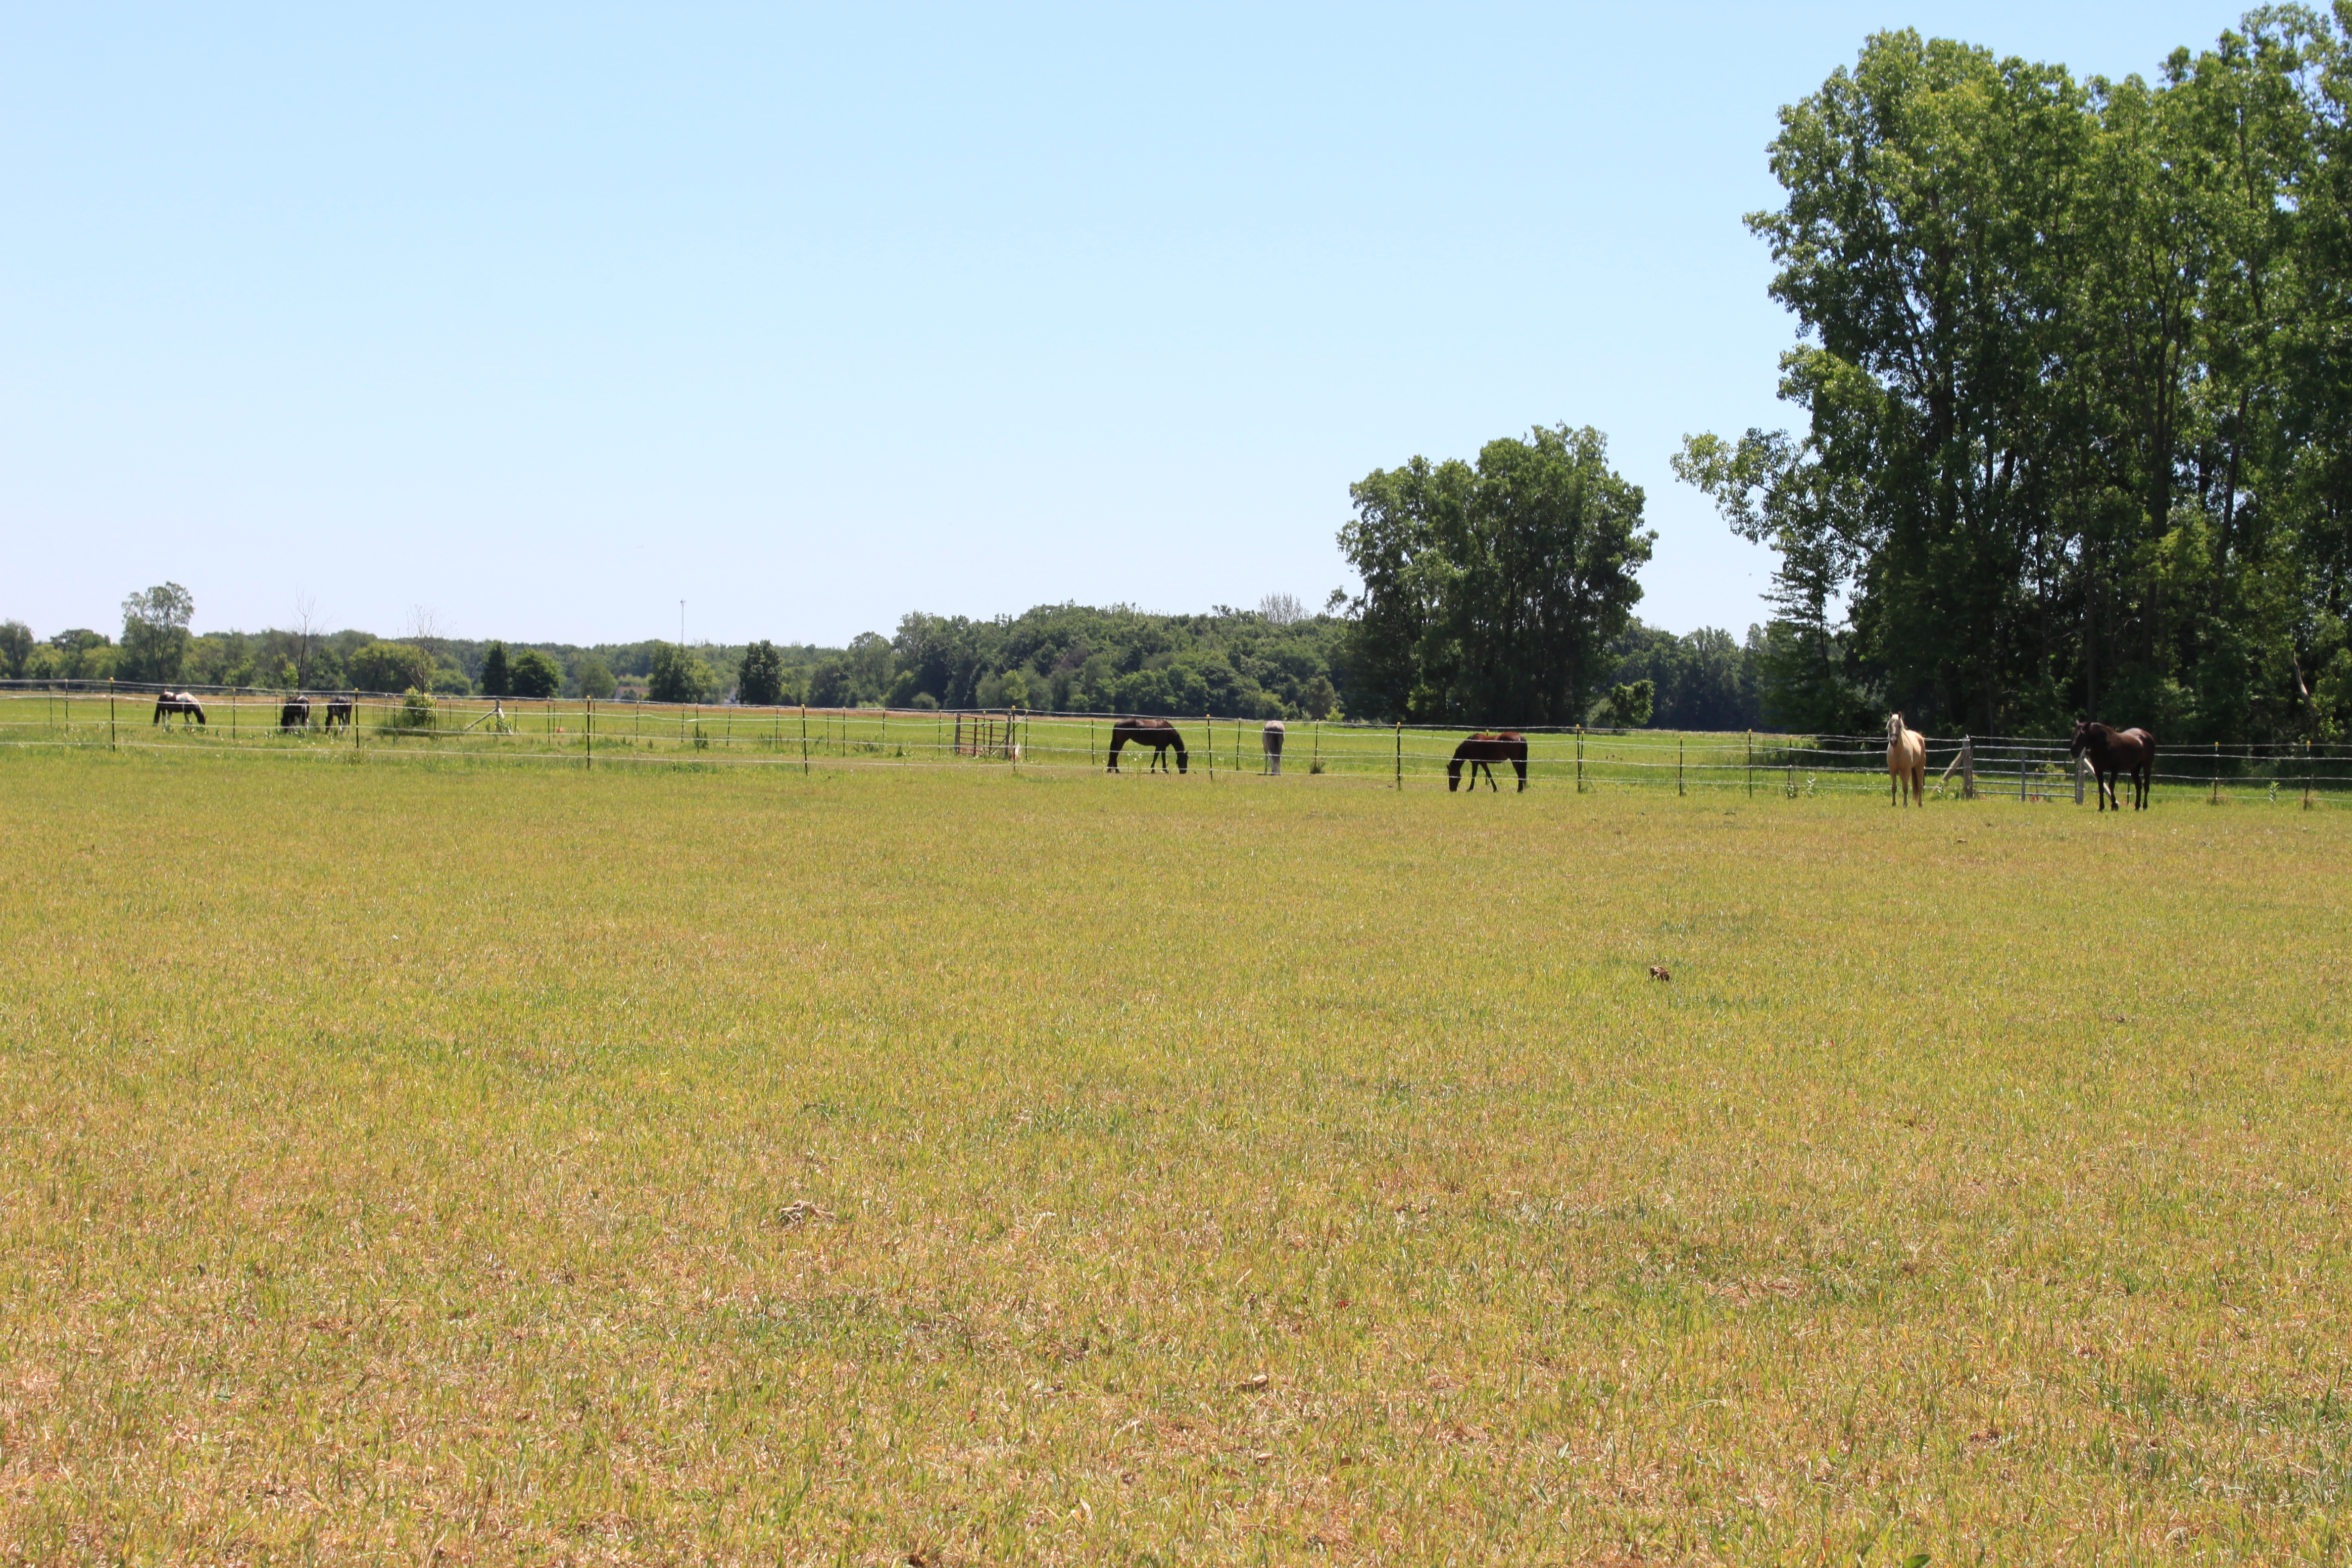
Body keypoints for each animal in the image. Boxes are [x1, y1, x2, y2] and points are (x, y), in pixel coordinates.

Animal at [1105, 719, 1195, 776]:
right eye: (1185, 760)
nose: (1184, 772)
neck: (1168, 730)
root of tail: (1117, 724)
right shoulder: (1161, 747)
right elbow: (1160, 757)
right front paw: (1161, 770)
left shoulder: (1160, 747)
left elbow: (1158, 757)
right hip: (1121, 742)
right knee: (1115, 754)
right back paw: (1117, 770)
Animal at [1439, 729, 1533, 789]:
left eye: (1451, 776)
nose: (1452, 789)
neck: (1469, 744)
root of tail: (1520, 737)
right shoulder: (1483, 763)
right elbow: (1489, 774)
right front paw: (1495, 789)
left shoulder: (1475, 763)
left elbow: (1474, 775)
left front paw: (1470, 789)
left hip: (1515, 761)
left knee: (1520, 773)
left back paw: (1520, 790)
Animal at [1881, 714, 1919, 808]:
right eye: (1889, 726)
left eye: (1900, 726)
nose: (1893, 741)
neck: (1898, 752)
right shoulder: (1892, 770)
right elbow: (1894, 787)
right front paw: (1894, 803)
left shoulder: (1907, 770)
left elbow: (1905, 787)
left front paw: (1905, 804)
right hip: (1902, 772)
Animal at [2069, 719, 2154, 818]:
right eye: (2073, 733)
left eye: (2082, 734)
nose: (2073, 752)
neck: (2103, 745)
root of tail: (2147, 735)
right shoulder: (2098, 769)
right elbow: (2101, 788)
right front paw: (2101, 807)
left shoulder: (2115, 769)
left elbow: (2111, 786)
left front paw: (2115, 806)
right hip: (2134, 769)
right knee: (2138, 785)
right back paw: (2137, 807)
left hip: (2147, 765)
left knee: (2146, 786)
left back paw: (2145, 806)